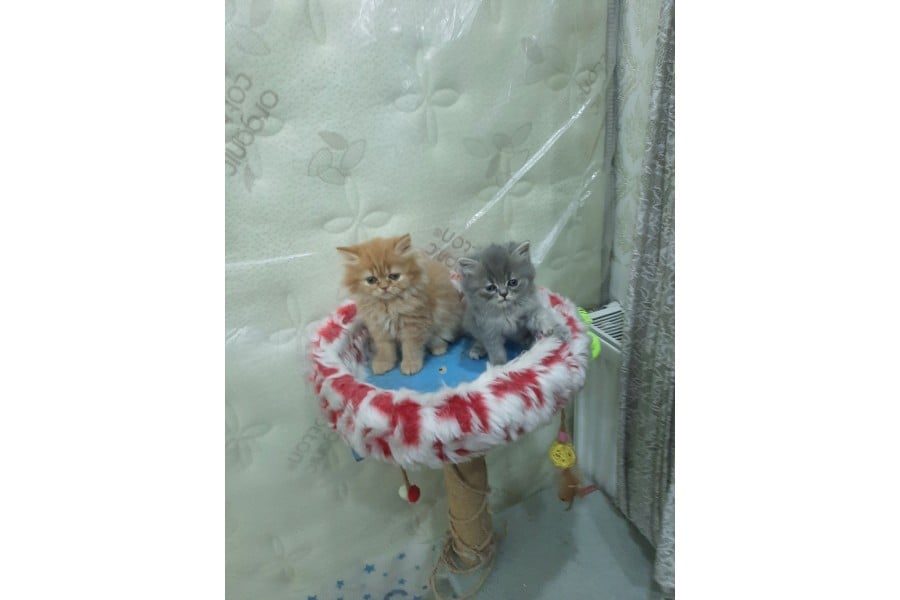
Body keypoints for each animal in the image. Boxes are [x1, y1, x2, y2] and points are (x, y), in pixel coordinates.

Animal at [337, 234, 463, 375]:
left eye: (394, 276)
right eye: (371, 280)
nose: (384, 287)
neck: (388, 306)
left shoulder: (413, 326)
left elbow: (411, 348)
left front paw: (411, 364)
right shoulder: (379, 328)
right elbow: (385, 348)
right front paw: (383, 363)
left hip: (445, 323)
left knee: (440, 337)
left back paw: (438, 348)